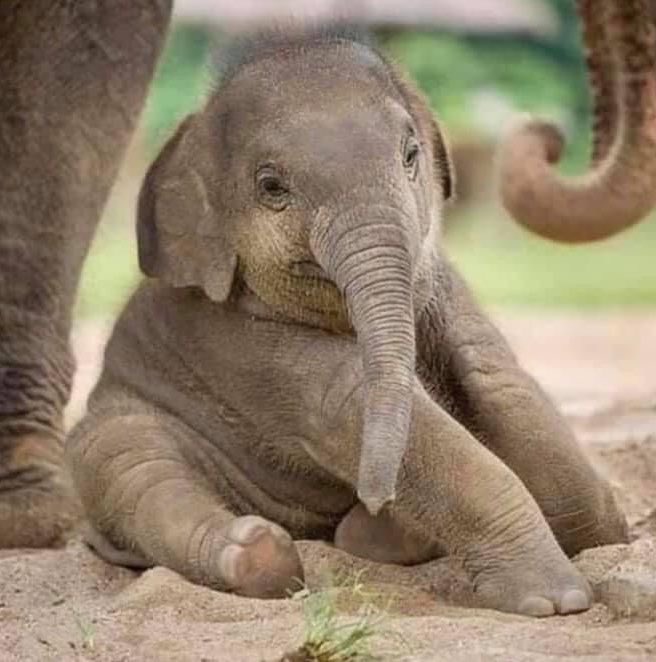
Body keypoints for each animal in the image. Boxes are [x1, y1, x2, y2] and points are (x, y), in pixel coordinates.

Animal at [63, 23, 629, 618]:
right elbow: (357, 407)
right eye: (272, 187)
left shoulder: (444, 286)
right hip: (114, 433)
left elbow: (499, 379)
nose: (375, 495)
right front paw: (558, 601)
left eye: (411, 154)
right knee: (137, 472)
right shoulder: (245, 350)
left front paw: (598, 541)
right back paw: (258, 554)